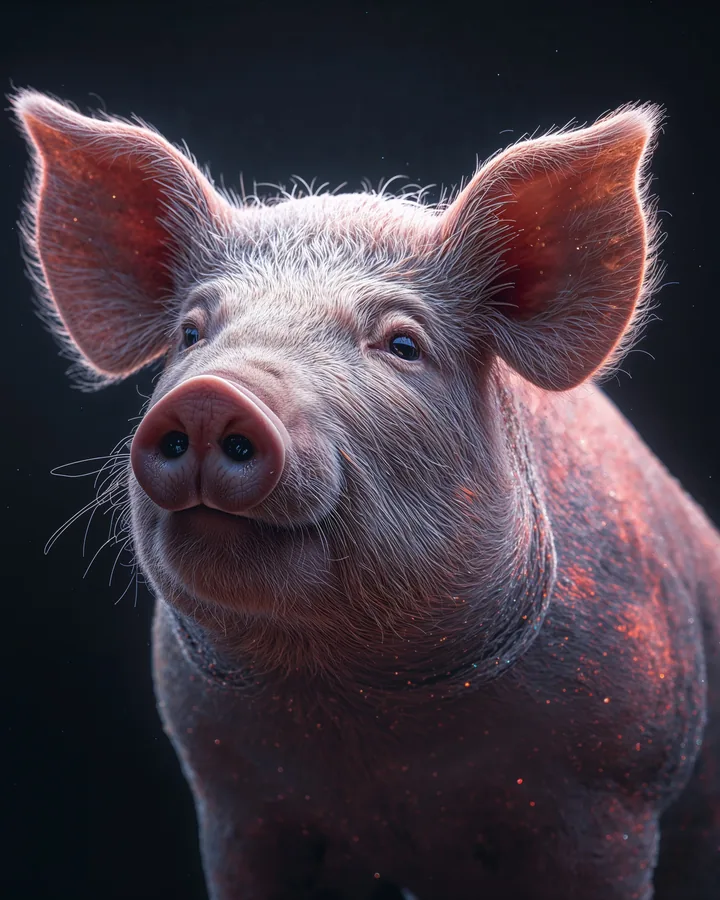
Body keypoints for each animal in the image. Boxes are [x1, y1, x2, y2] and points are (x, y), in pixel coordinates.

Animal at [12, 89, 720, 900]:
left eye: (402, 345)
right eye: (192, 332)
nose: (212, 396)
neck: (355, 702)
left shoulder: (616, 793)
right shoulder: (238, 809)